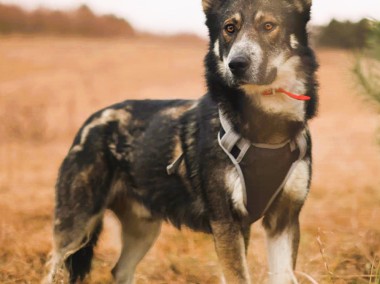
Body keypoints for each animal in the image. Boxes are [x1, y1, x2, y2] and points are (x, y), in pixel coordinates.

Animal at [46, 0, 318, 282]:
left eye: (268, 26)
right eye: (229, 28)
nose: (237, 64)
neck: (268, 129)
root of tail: (90, 122)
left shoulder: (284, 220)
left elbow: (284, 274)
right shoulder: (227, 222)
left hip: (143, 229)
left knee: (120, 269)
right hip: (76, 228)